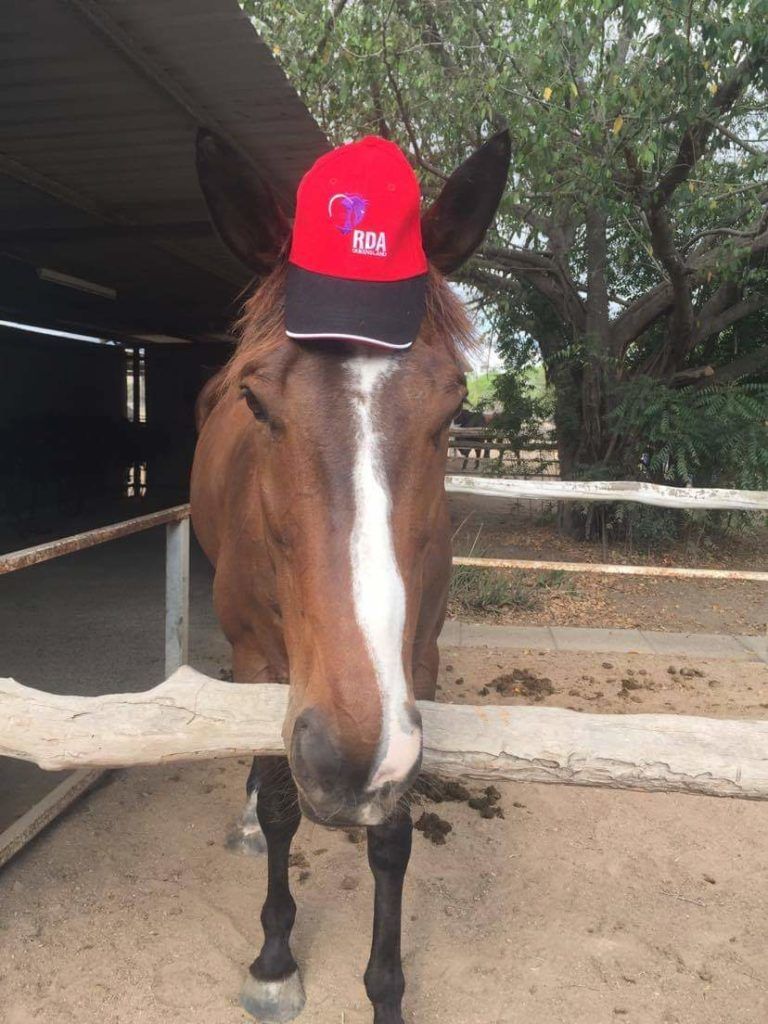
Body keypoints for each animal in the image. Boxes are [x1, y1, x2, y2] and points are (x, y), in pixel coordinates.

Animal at [191, 127, 510, 1024]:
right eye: (257, 401)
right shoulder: (263, 661)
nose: (350, 761)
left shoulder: (417, 668)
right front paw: (274, 961)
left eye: (452, 407)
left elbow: (393, 836)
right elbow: (276, 798)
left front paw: (386, 990)